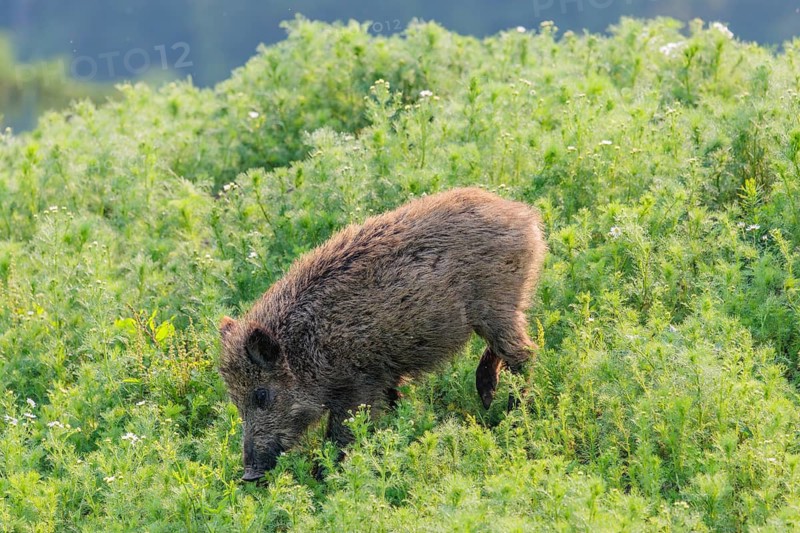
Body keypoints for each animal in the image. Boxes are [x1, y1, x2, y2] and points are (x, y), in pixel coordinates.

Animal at [218, 187, 547, 481]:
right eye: (235, 400)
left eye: (261, 394)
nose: (249, 475)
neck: (307, 350)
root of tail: (525, 215)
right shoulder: (383, 376)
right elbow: (392, 404)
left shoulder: (358, 385)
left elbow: (341, 433)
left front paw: (323, 476)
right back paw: (488, 398)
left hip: (496, 305)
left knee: (525, 353)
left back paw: (510, 415)